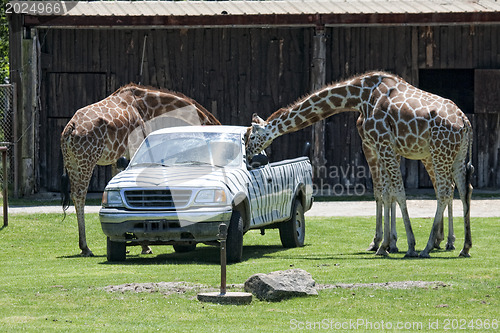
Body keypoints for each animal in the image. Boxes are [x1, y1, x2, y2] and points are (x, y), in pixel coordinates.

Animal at [61, 83, 221, 254]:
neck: (147, 107)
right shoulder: (136, 147)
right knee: (80, 194)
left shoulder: (117, 157)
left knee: (74, 194)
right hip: (87, 158)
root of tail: (70, 129)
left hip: (72, 161)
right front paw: (145, 246)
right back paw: (85, 247)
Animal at [246, 70, 472, 256]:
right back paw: (462, 246)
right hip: (456, 155)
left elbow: (396, 192)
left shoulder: (382, 144)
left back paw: (428, 247)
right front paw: (386, 244)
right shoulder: (382, 147)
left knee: (444, 191)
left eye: (251, 137)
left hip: (439, 152)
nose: (248, 156)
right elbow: (386, 193)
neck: (359, 96)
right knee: (462, 188)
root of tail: (464, 122)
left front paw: (404, 245)